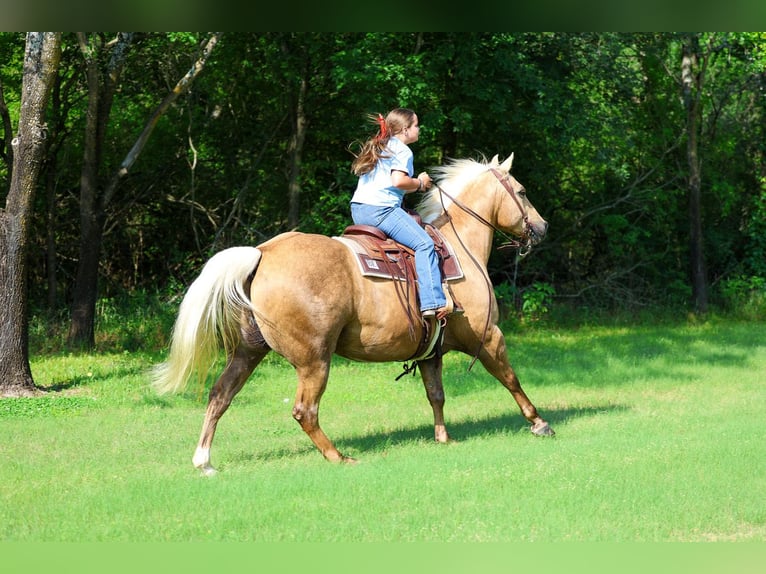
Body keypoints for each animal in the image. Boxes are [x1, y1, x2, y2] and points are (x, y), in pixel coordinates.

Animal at [152, 153, 554, 475]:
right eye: (521, 192)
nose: (542, 226)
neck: (458, 247)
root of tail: (262, 253)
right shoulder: (487, 336)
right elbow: (510, 378)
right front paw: (539, 422)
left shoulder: (431, 352)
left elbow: (436, 394)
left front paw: (443, 437)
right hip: (314, 359)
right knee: (305, 410)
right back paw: (338, 457)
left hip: (249, 350)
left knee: (220, 395)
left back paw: (203, 461)